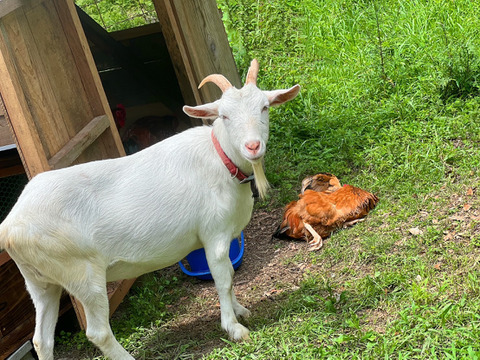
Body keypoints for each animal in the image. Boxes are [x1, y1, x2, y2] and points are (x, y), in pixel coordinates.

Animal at [0, 60, 300, 358]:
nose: (253, 146)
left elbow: (229, 273)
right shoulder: (214, 233)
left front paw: (239, 310)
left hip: (41, 281)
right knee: (97, 332)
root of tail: (10, 225)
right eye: (224, 116)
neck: (220, 158)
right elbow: (223, 278)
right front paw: (234, 328)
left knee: (42, 339)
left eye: (264, 107)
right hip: (81, 273)